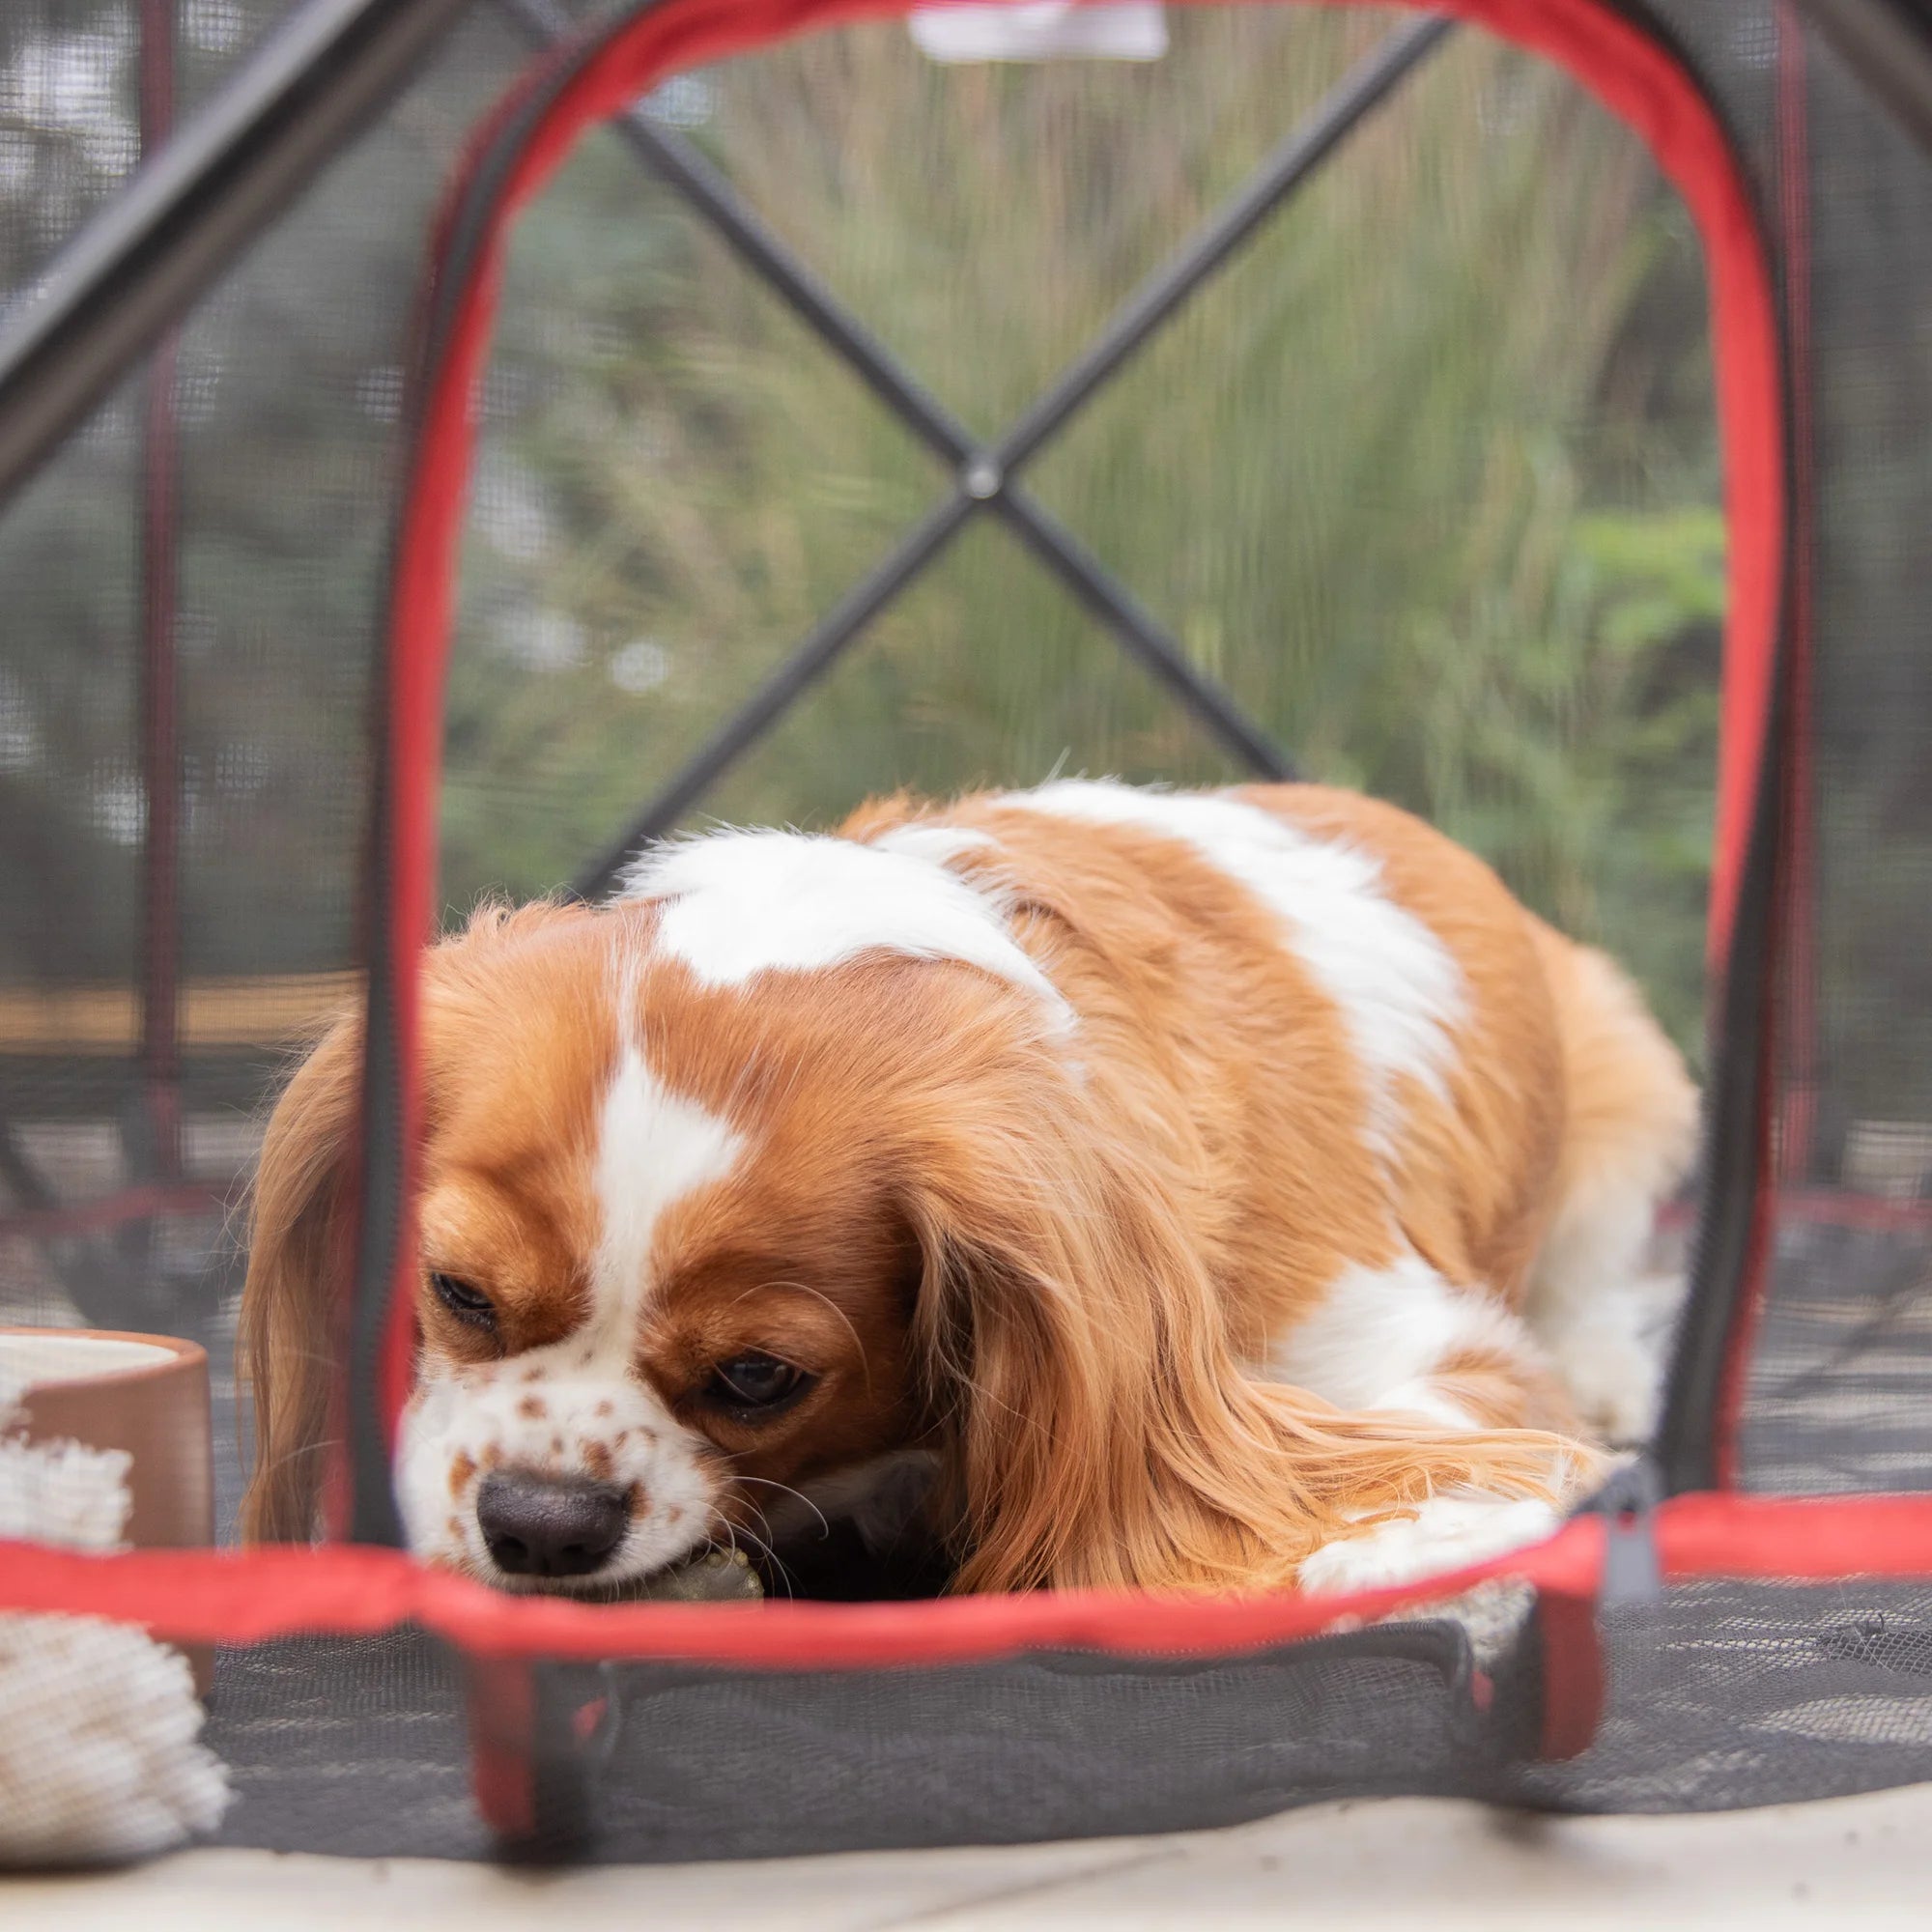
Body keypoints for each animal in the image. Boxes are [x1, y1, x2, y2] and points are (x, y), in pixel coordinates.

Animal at [238, 777, 1692, 1592]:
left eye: (757, 1377)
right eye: (457, 1293)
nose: (540, 1523)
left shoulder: (1395, 1340)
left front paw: (1398, 1540)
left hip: (1621, 1063)